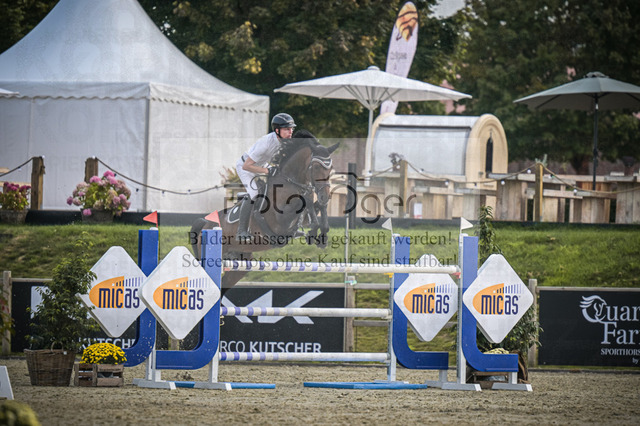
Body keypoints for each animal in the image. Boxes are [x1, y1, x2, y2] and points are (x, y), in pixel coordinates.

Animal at [190, 130, 339, 294]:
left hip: (241, 262)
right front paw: (313, 230)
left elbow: (316, 208)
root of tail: (205, 224)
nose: (325, 195)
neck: (290, 183)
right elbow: (304, 202)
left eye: (330, 168)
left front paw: (319, 235)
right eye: (316, 167)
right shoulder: (281, 220)